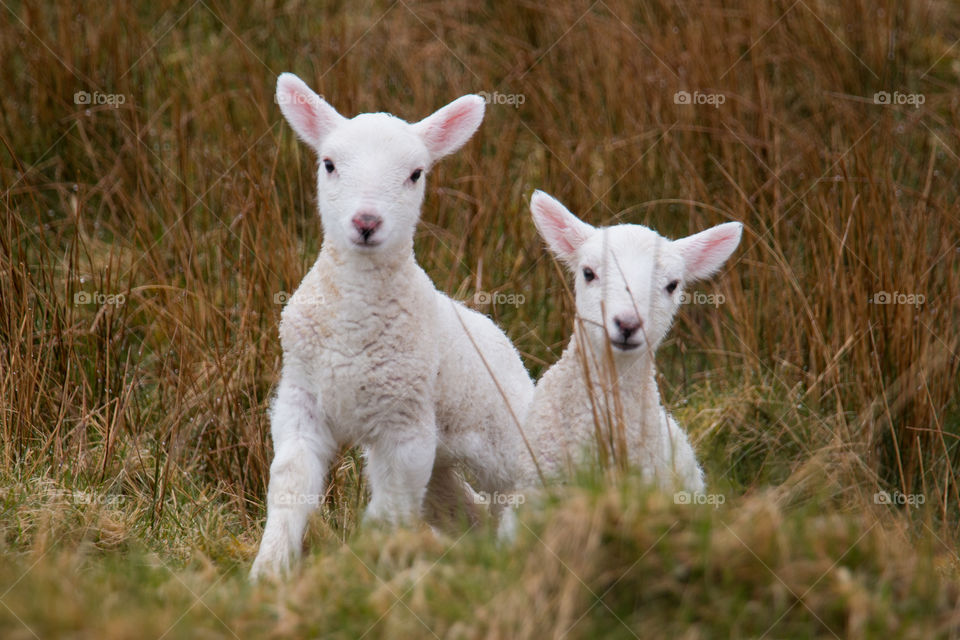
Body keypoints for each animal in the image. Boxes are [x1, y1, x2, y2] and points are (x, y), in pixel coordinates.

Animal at [248, 75, 532, 580]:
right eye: (329, 164)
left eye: (416, 174)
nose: (366, 222)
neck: (354, 316)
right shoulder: (301, 400)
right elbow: (289, 484)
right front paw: (269, 570)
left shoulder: (405, 425)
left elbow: (389, 511)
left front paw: (360, 570)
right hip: (443, 461)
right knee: (464, 511)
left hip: (503, 430)